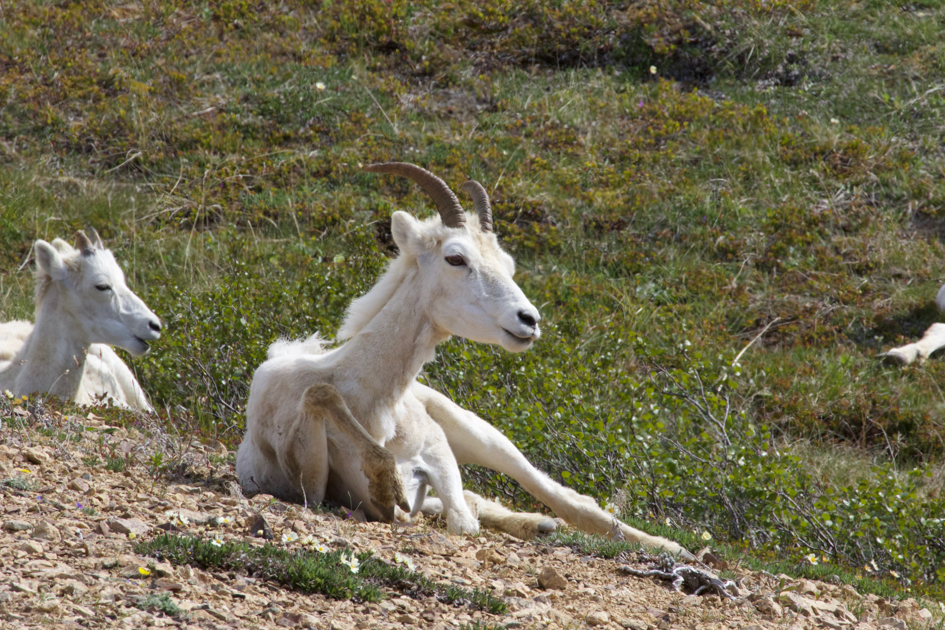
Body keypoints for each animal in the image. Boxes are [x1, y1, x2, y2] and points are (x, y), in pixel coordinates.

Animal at [236, 162, 688, 556]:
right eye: (456, 258)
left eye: (508, 264)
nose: (529, 321)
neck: (364, 395)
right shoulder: (309, 485)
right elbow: (321, 399)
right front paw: (389, 487)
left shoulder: (439, 453)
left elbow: (463, 520)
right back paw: (539, 525)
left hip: (481, 434)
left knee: (564, 498)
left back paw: (674, 548)